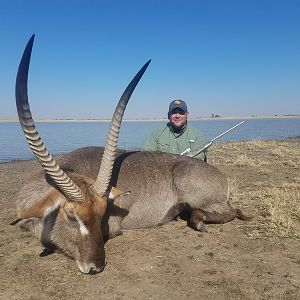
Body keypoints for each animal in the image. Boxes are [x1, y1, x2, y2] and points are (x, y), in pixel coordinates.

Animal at [12, 34, 250, 274]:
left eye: (102, 215)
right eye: (71, 216)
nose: (96, 267)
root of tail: (221, 177)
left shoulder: (112, 227)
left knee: (231, 211)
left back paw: (197, 219)